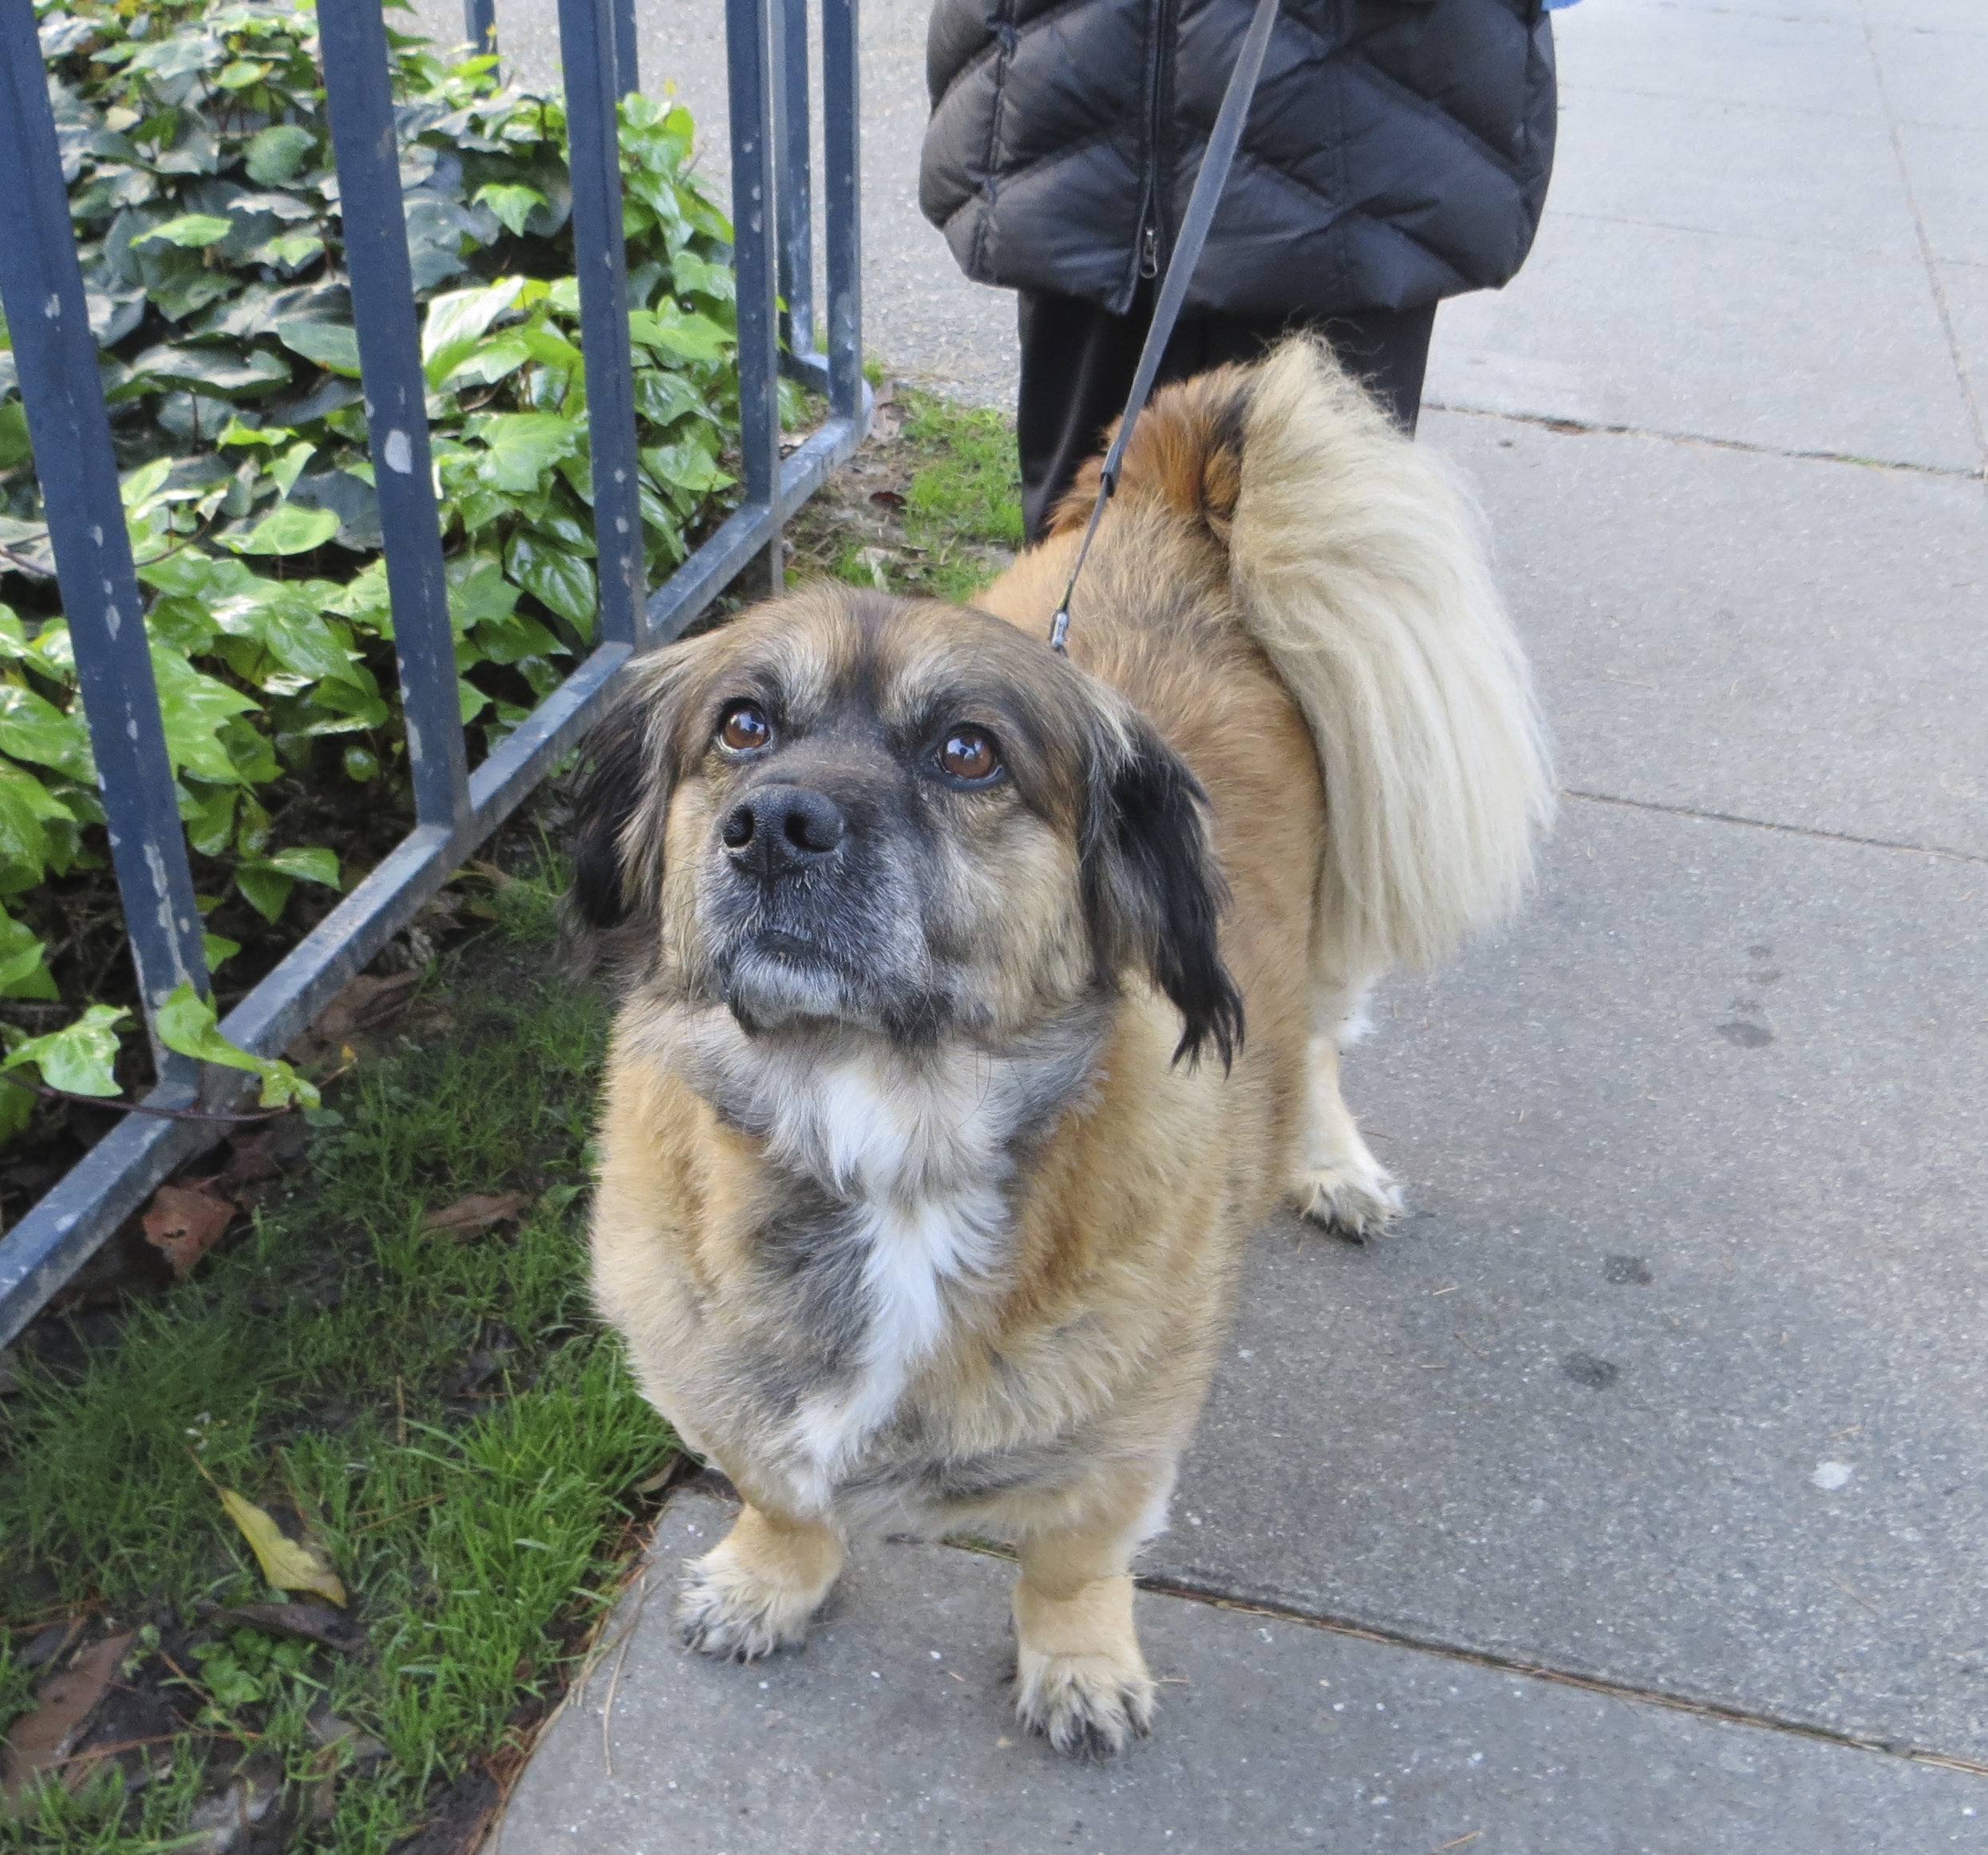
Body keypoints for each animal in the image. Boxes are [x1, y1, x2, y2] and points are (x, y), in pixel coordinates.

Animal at [576, 335, 1550, 1749]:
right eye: (742, 726)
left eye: (966, 751)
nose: (773, 827)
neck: (885, 1122)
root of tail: (1170, 503)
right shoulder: (722, 1375)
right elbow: (781, 1489)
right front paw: (771, 1578)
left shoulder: (1127, 1433)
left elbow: (1069, 1560)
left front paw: (1079, 1661)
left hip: (1325, 941)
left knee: (1317, 1047)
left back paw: (1328, 1166)